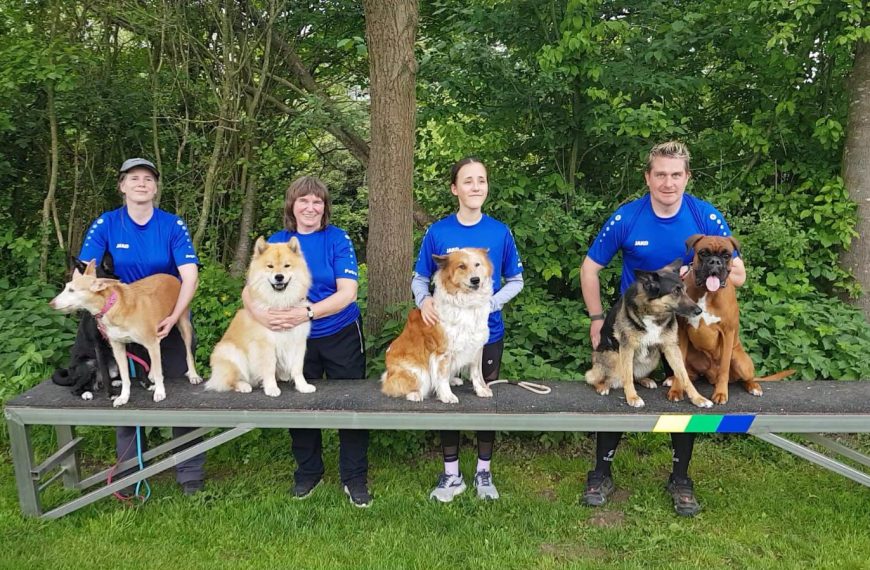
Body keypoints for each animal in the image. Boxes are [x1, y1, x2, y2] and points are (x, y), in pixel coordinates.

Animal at [584, 260, 716, 406]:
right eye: (675, 292)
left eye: (685, 290)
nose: (699, 311)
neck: (653, 313)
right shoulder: (627, 347)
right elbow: (628, 376)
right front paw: (632, 397)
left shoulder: (671, 347)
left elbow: (684, 375)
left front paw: (698, 398)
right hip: (614, 356)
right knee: (592, 377)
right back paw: (602, 386)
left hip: (653, 357)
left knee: (635, 376)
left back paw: (646, 380)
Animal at [676, 232, 800, 404]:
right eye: (703, 253)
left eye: (726, 255)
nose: (715, 262)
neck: (707, 292)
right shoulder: (681, 331)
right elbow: (678, 365)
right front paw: (675, 390)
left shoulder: (727, 333)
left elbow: (724, 368)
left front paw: (721, 393)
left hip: (740, 361)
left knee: (746, 378)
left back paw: (754, 387)